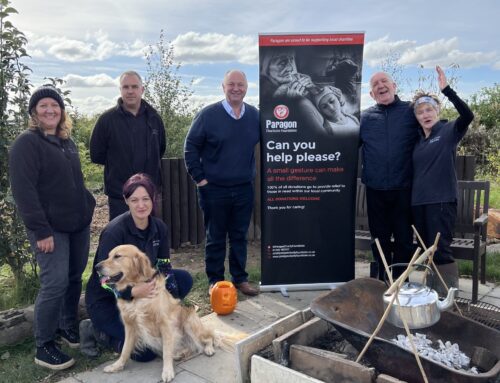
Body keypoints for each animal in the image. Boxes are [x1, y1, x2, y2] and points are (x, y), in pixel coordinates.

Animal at [95, 244, 217, 382]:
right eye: (108, 256)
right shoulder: (130, 326)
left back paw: (208, 349)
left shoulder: (166, 324)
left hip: (189, 324)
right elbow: (125, 349)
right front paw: (117, 366)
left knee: (209, 338)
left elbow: (166, 351)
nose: (96, 267)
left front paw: (167, 371)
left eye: (117, 256)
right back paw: (180, 354)